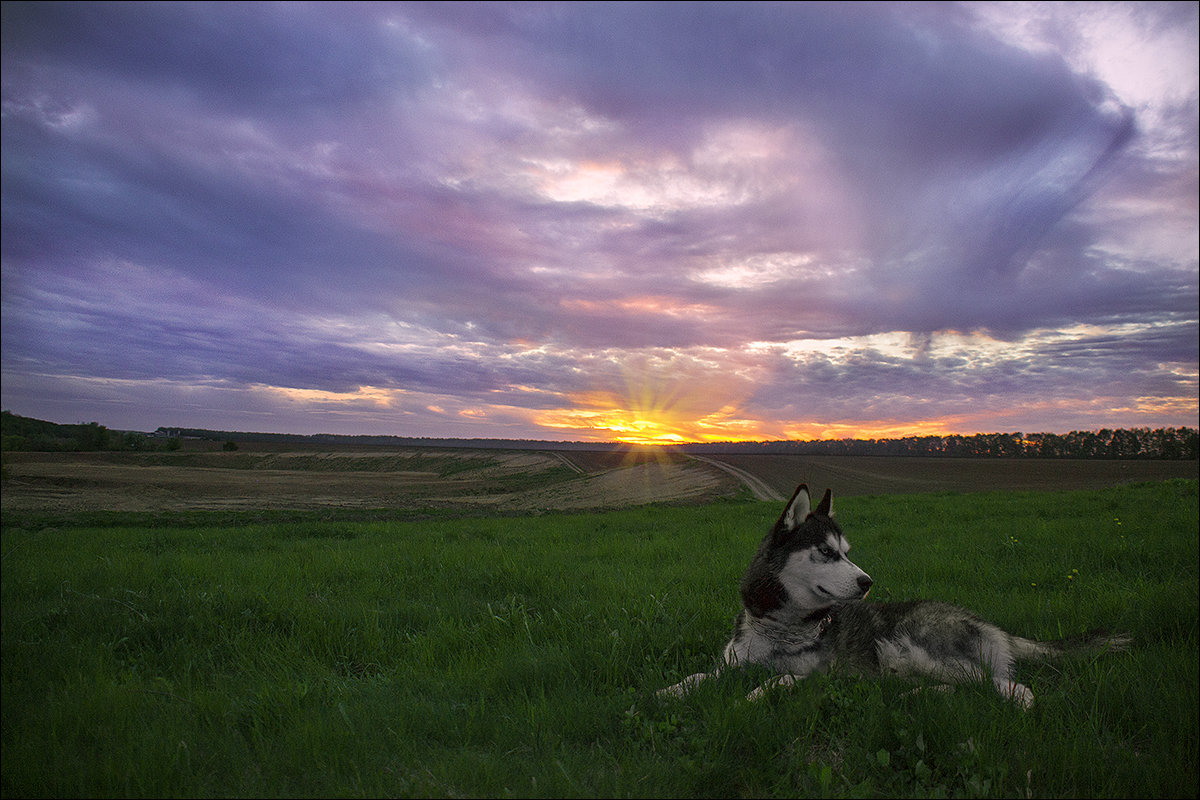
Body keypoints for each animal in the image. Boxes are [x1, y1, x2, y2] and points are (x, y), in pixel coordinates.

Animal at [662, 484, 1128, 710]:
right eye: (827, 552)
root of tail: (988, 623)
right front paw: (668, 692)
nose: (867, 582)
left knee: (1005, 684)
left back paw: (1012, 704)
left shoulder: (818, 676)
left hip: (903, 647)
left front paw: (752, 698)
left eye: (847, 552)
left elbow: (778, 680)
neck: (782, 627)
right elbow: (700, 677)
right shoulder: (732, 663)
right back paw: (918, 697)